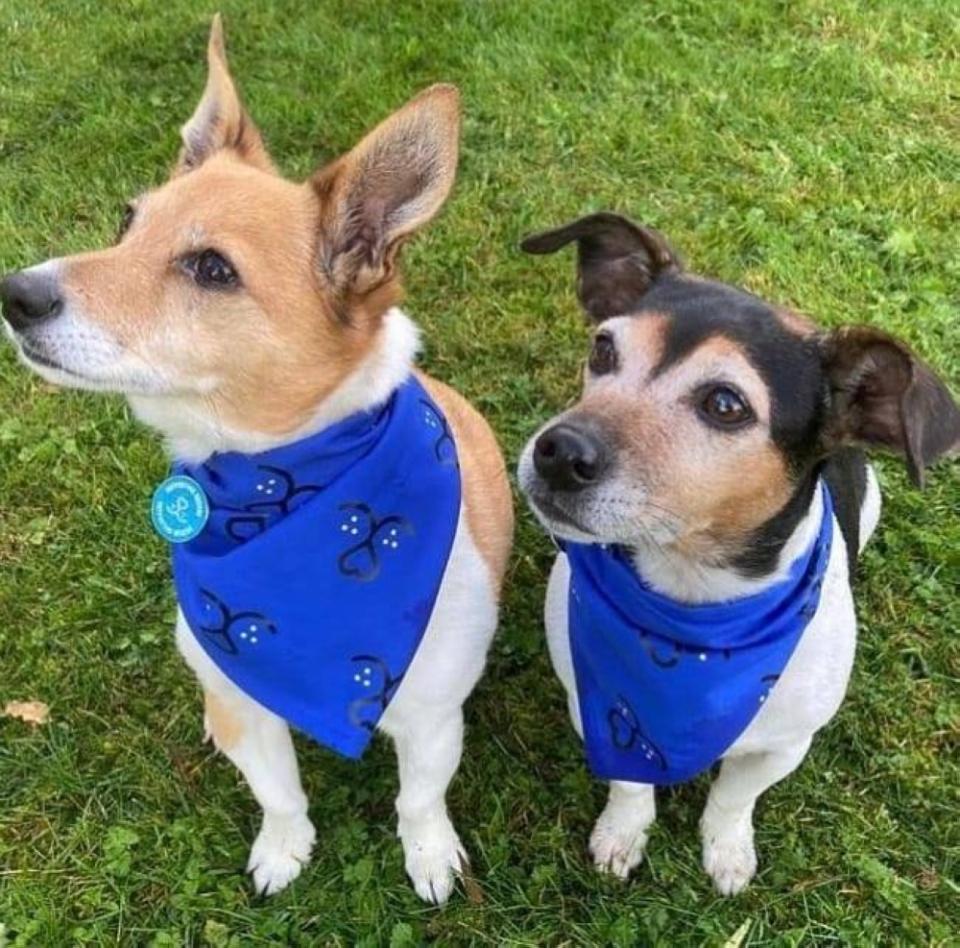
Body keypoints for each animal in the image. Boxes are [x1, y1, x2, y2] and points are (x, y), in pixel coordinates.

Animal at [3, 18, 512, 900]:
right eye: (126, 221)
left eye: (212, 269)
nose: (15, 293)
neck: (282, 486)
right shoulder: (248, 702)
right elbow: (279, 792)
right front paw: (284, 850)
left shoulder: (430, 719)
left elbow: (418, 799)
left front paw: (428, 855)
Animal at [520, 215, 956, 896]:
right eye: (603, 349)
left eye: (725, 405)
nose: (559, 451)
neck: (693, 600)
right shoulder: (596, 709)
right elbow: (630, 782)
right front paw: (624, 832)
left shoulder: (784, 746)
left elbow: (734, 795)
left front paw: (725, 849)